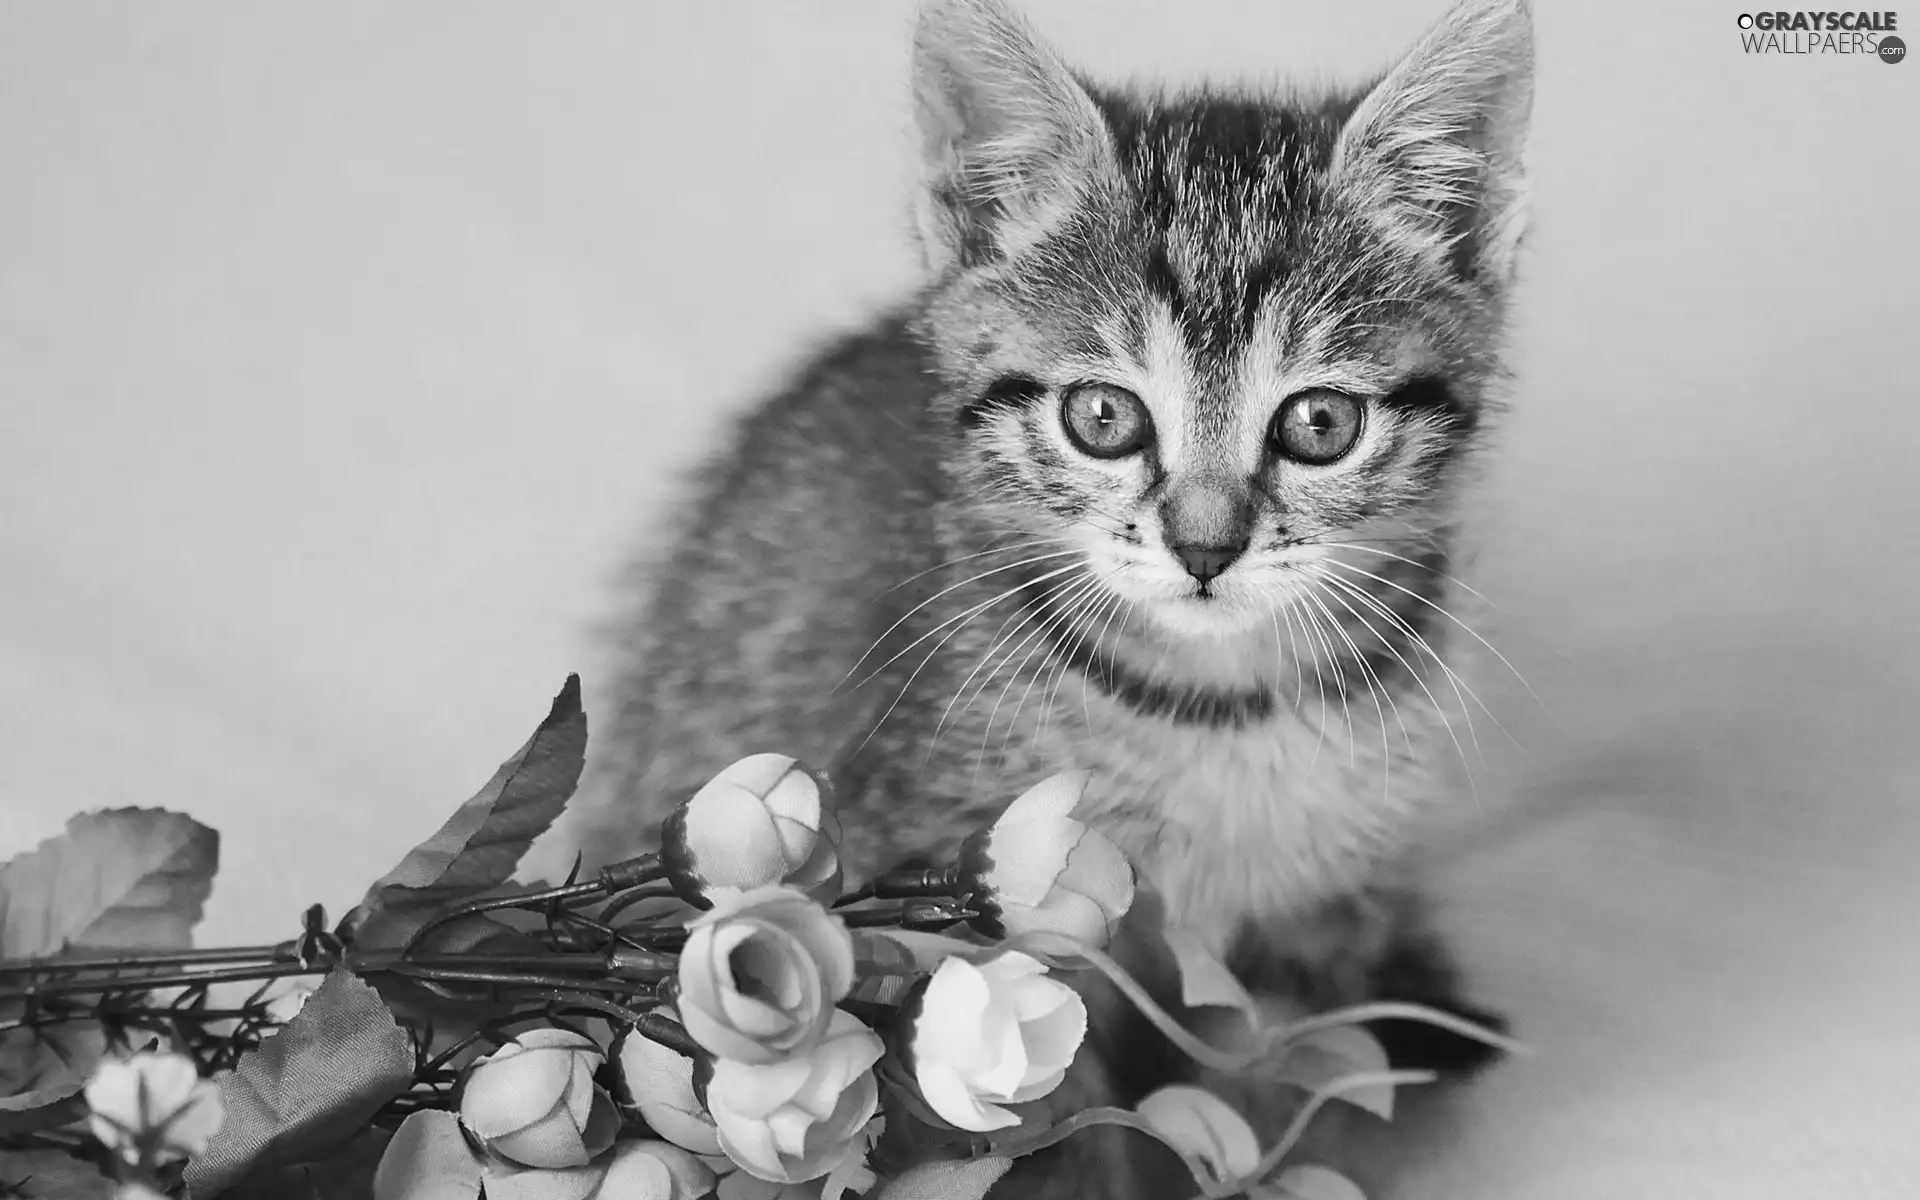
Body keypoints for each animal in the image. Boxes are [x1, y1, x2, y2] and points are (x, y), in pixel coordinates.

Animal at [556, 0, 1528, 1182]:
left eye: (1319, 423)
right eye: (1103, 417)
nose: (1206, 548)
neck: (1220, 711)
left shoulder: (1317, 916)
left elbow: (1292, 1079)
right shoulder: (955, 917)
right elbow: (1046, 1123)